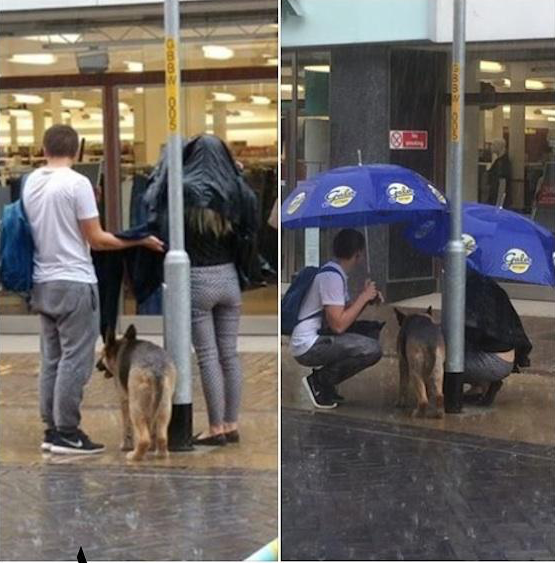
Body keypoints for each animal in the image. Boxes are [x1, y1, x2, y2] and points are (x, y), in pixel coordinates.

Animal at [102, 326, 176, 462]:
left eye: (103, 354)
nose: (97, 365)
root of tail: (155, 370)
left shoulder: (124, 401)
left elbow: (126, 427)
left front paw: (125, 445)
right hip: (165, 407)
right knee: (162, 436)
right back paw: (161, 454)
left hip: (135, 408)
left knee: (144, 439)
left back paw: (135, 455)